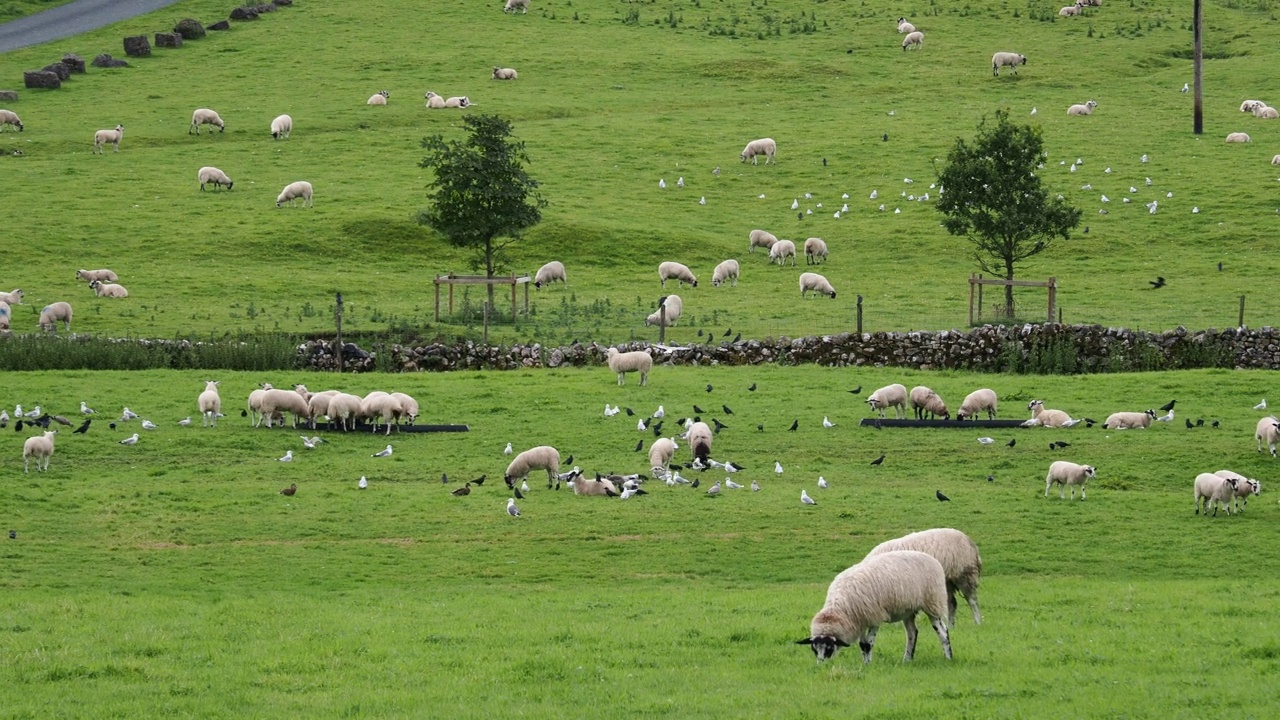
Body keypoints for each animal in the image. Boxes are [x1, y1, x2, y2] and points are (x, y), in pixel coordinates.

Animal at [793, 548, 957, 661]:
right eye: (814, 649)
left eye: (828, 648)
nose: (821, 665)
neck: (840, 607)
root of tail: (932, 559)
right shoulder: (859, 620)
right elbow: (862, 645)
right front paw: (865, 663)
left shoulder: (873, 616)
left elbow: (868, 644)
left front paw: (867, 665)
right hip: (908, 609)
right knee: (912, 633)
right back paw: (907, 659)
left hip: (932, 602)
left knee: (942, 632)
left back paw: (948, 657)